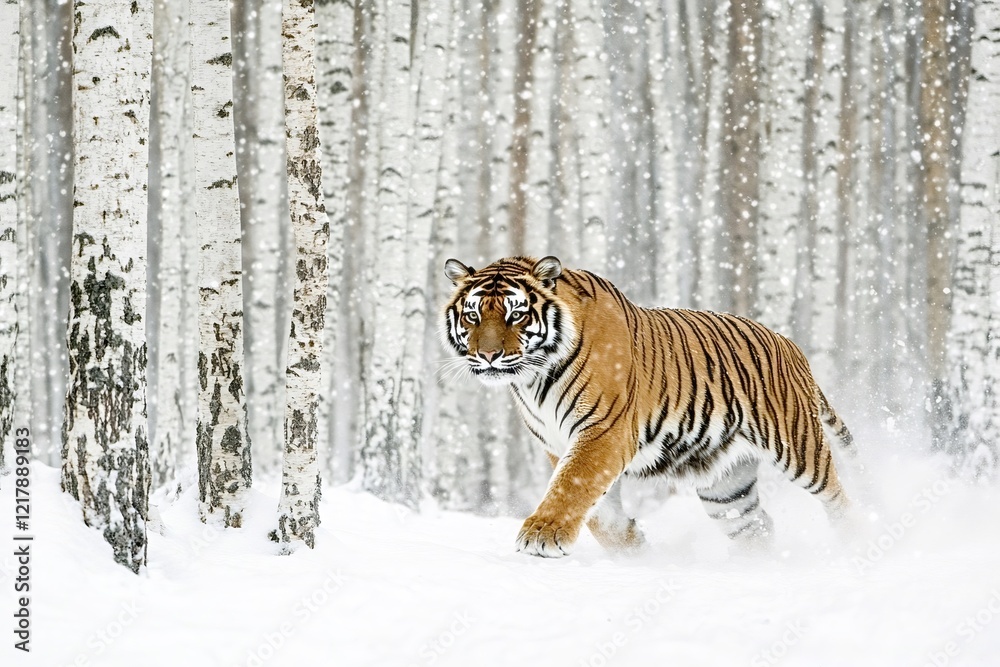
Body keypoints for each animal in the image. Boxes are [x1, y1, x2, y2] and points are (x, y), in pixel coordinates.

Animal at [442, 255, 856, 558]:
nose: (488, 355)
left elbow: (571, 486)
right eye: (473, 315)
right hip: (725, 484)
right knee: (756, 525)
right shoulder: (557, 443)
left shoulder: (603, 431)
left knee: (838, 497)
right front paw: (633, 549)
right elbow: (598, 512)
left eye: (516, 314)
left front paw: (542, 536)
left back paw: (858, 541)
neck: (534, 379)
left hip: (799, 448)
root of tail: (790, 344)